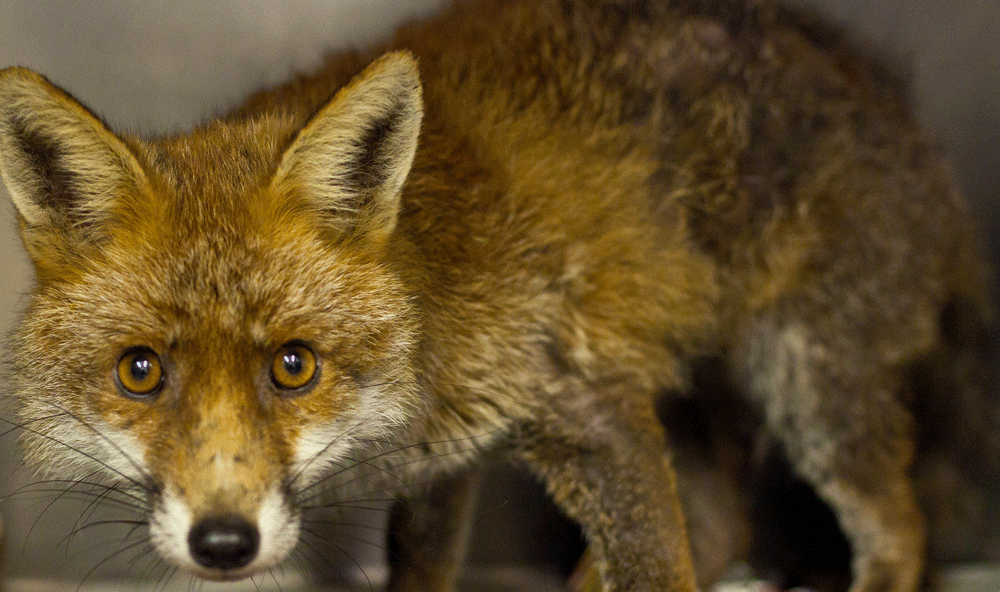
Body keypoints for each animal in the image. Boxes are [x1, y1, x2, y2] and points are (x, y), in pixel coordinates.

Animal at [0, 0, 996, 591]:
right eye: (140, 372)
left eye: (293, 366)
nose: (223, 544)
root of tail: (870, 72)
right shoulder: (447, 465)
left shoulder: (591, 407)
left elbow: (656, 566)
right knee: (719, 528)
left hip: (814, 387)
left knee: (895, 522)